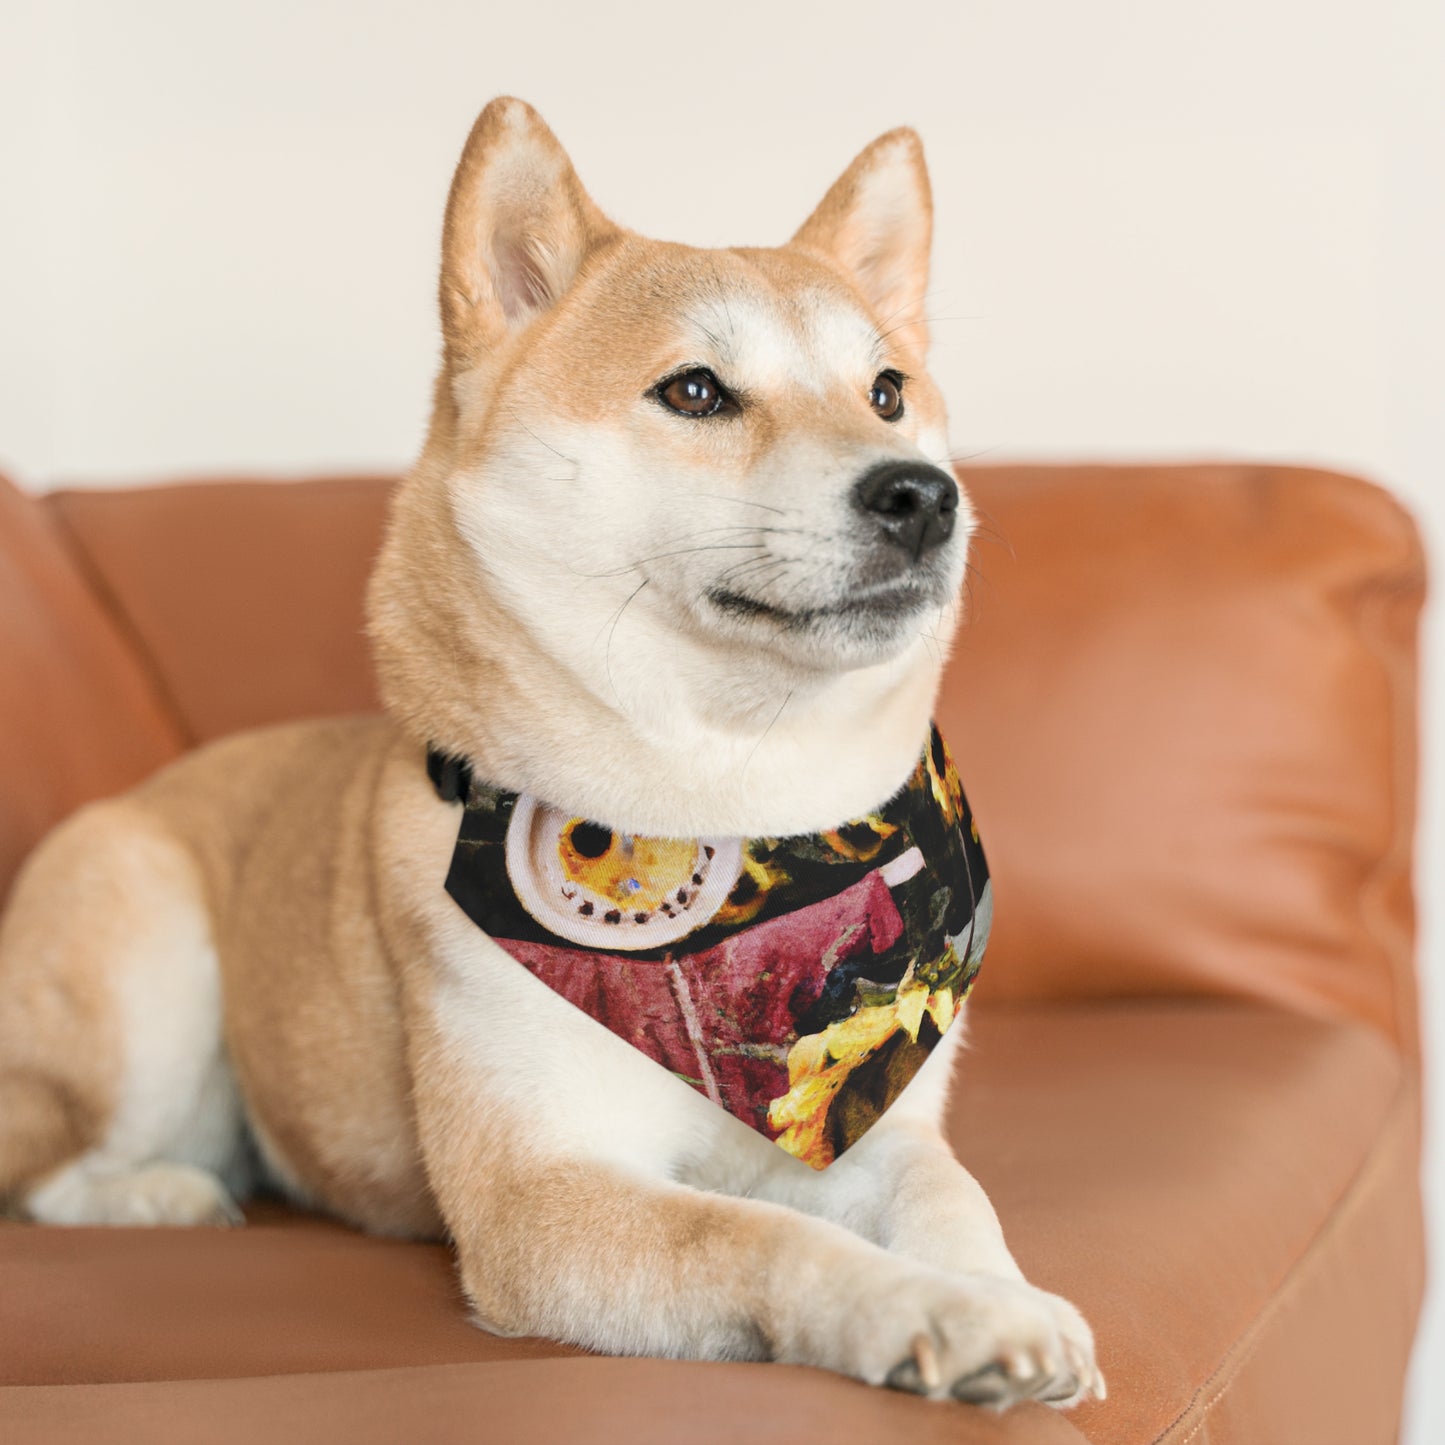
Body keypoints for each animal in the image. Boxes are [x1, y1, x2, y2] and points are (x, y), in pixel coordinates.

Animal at [0, 96, 1098, 1404]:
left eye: (886, 390)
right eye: (694, 390)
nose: (923, 494)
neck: (732, 807)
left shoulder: (878, 1119)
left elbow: (950, 1196)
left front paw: (1002, 1294)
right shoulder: (541, 1195)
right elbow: (765, 1236)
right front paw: (929, 1310)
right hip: (145, 967)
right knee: (48, 1167)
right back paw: (162, 1192)